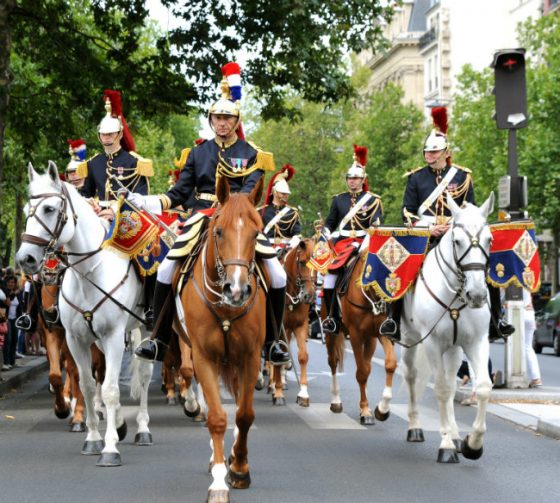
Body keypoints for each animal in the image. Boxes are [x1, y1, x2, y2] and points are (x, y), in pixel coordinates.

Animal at [16, 162, 154, 468]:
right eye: (26, 210)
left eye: (49, 209)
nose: (25, 259)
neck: (89, 273)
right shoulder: (73, 338)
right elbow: (86, 384)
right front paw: (92, 437)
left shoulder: (113, 337)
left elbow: (111, 388)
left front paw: (110, 448)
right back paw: (120, 423)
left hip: (144, 330)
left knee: (144, 375)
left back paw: (142, 429)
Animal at [179, 175, 266, 502]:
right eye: (218, 231)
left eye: (257, 233)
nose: (237, 290)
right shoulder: (204, 356)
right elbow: (217, 417)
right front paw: (218, 483)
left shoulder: (250, 357)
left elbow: (244, 415)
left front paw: (239, 468)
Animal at [266, 238, 316, 408]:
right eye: (302, 262)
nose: (309, 296)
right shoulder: (282, 328)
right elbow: (278, 355)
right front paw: (278, 391)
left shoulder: (301, 326)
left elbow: (303, 356)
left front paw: (303, 394)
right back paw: (271, 384)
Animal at [324, 248, 398, 426]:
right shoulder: (356, 335)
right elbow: (362, 373)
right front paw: (365, 411)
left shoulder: (379, 334)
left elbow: (389, 364)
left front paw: (381, 409)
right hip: (331, 333)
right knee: (333, 362)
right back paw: (336, 401)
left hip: (369, 339)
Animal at [400, 192, 492, 464]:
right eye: (458, 241)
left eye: (490, 239)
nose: (477, 295)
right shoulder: (432, 343)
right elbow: (440, 389)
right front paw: (446, 445)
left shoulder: (477, 341)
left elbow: (483, 387)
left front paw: (473, 444)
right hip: (410, 338)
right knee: (410, 375)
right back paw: (413, 426)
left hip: (454, 349)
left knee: (451, 384)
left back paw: (455, 433)